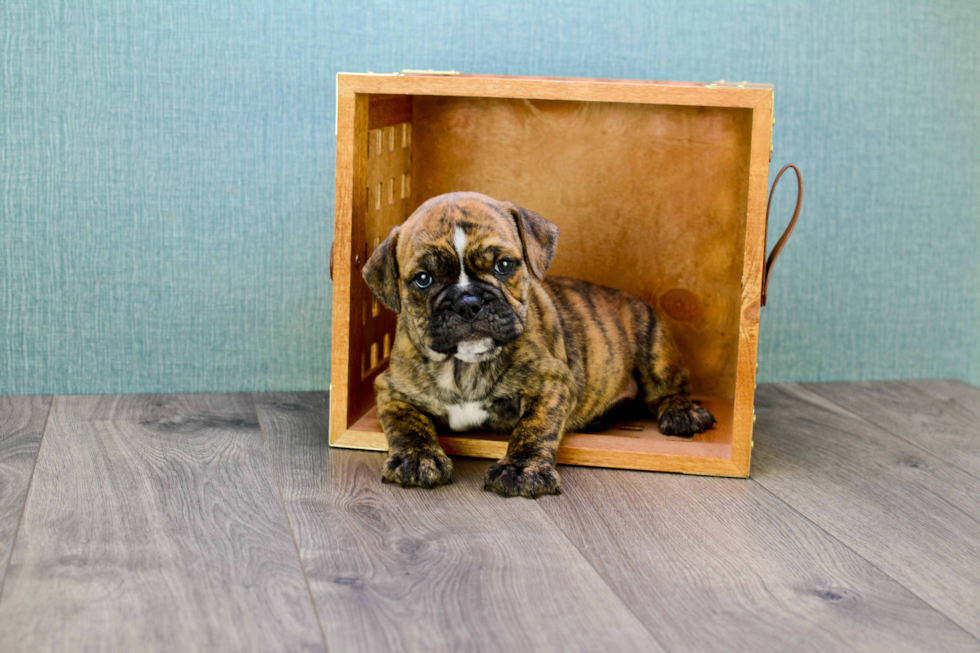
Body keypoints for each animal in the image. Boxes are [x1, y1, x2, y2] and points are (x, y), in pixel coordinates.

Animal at [364, 191, 716, 496]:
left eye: (504, 265)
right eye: (423, 279)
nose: (468, 303)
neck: (465, 365)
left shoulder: (552, 382)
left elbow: (534, 426)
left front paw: (522, 469)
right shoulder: (392, 390)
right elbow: (406, 424)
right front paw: (416, 458)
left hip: (653, 344)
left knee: (668, 389)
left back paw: (682, 413)